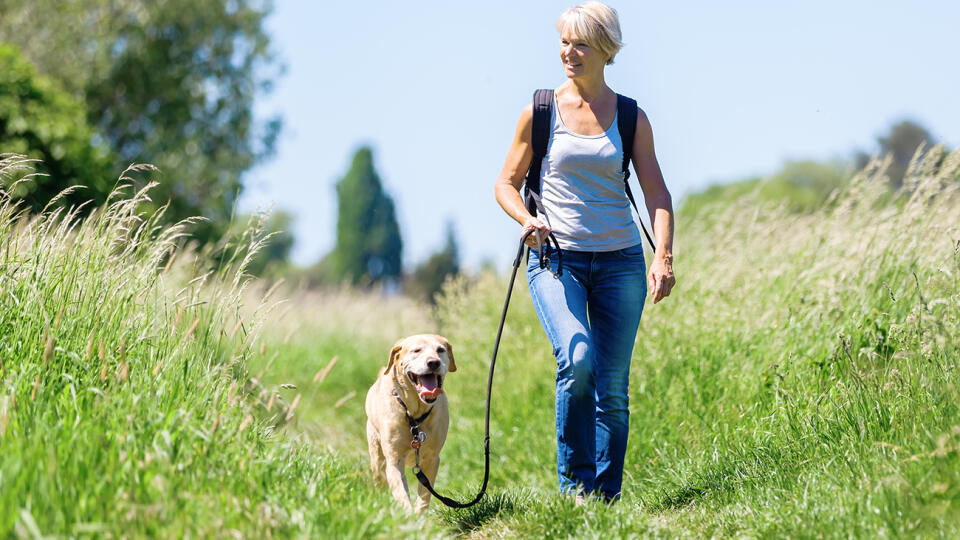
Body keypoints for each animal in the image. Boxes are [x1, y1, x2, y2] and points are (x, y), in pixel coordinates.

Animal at [368, 332, 458, 512]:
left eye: (440, 350)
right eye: (416, 350)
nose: (433, 362)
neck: (414, 415)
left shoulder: (432, 459)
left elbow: (424, 496)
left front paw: (419, 514)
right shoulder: (394, 461)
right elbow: (402, 495)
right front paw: (408, 515)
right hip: (377, 457)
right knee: (379, 480)